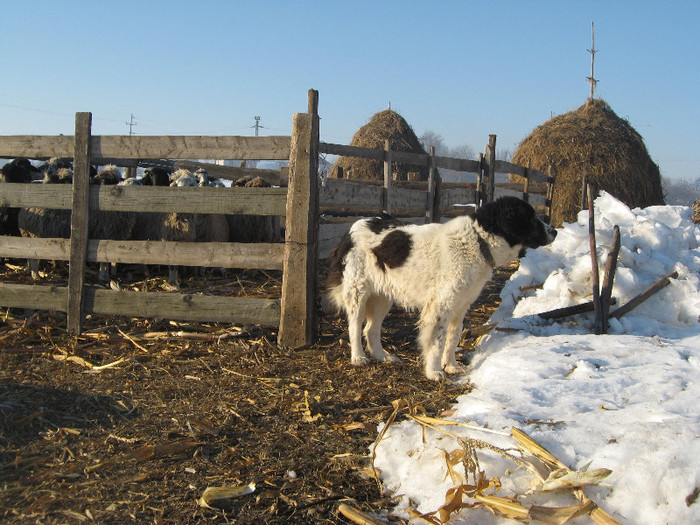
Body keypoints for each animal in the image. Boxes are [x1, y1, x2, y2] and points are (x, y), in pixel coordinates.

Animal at [328, 196, 556, 380]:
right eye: (531, 218)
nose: (554, 231)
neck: (477, 241)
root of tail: (354, 226)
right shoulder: (440, 307)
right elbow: (436, 342)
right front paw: (434, 371)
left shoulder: (460, 306)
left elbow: (453, 338)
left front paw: (452, 366)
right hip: (358, 292)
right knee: (355, 326)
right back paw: (358, 357)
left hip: (383, 296)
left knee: (370, 329)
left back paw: (382, 356)